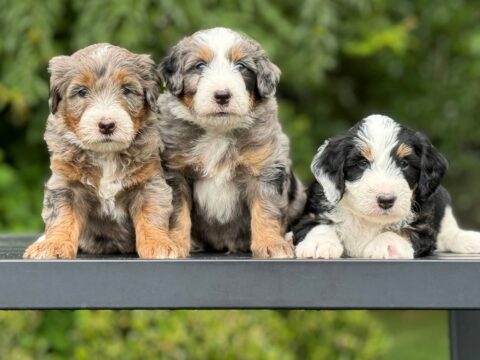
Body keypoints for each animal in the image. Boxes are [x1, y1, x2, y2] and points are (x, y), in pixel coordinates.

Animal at [22, 44, 184, 258]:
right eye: (82, 92)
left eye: (126, 90)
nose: (106, 125)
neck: (106, 154)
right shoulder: (67, 185)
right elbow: (62, 217)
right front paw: (53, 245)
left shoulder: (149, 183)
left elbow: (152, 216)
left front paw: (159, 244)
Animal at [159, 28, 306, 258]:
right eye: (199, 66)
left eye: (241, 67)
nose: (222, 95)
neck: (218, 131)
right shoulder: (175, 171)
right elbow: (177, 213)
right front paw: (174, 244)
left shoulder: (265, 167)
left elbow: (266, 208)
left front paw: (271, 244)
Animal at [290, 114, 480, 258]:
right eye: (362, 163)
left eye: (404, 164)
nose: (386, 200)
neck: (369, 220)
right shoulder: (308, 214)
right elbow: (317, 225)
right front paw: (319, 243)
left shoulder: (424, 228)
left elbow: (402, 230)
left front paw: (386, 245)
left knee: (449, 232)